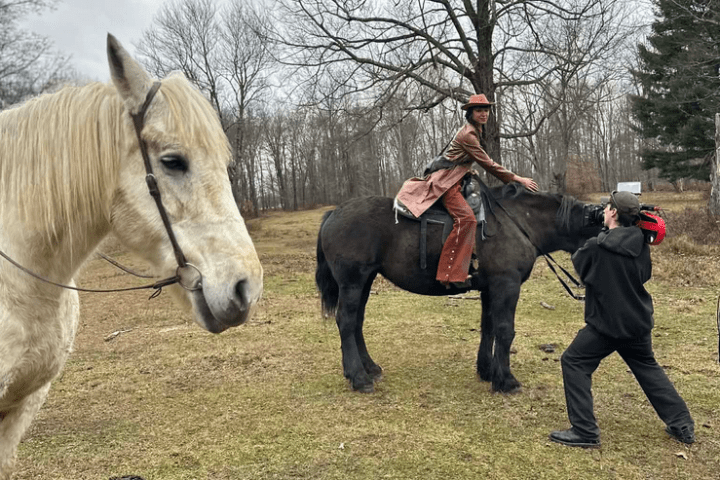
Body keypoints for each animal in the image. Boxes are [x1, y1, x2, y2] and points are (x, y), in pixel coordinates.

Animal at [315, 183, 601, 394]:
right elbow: (505, 331)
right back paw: (358, 377)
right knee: (346, 321)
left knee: (356, 322)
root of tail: (334, 214)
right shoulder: (506, 285)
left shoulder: (489, 289)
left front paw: (487, 370)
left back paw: (369, 368)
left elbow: (488, 329)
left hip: (365, 281)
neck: (518, 222)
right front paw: (506, 380)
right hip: (353, 282)